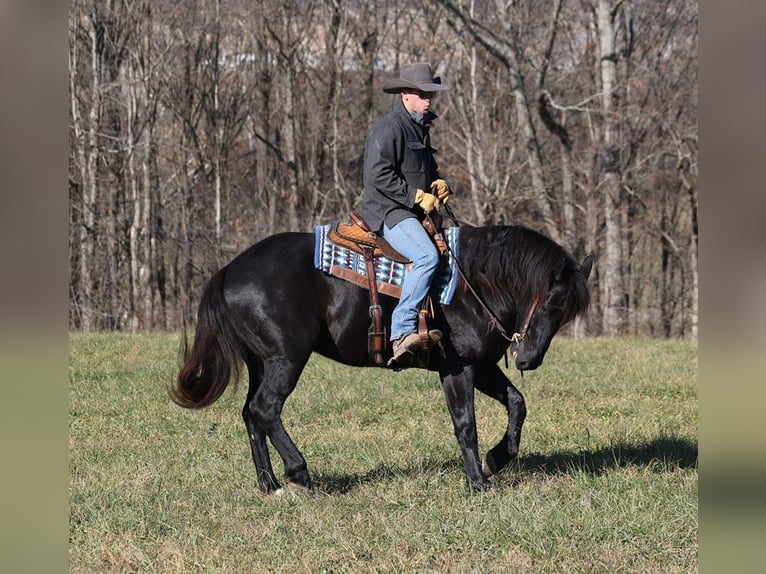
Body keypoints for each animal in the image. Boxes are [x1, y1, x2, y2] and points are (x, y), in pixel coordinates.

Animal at [172, 225, 592, 496]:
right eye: (554, 302)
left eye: (567, 312)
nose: (529, 359)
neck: (472, 281)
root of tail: (230, 270)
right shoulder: (457, 368)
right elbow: (466, 424)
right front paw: (478, 483)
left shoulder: (483, 365)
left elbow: (517, 404)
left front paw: (495, 460)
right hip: (285, 358)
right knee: (265, 409)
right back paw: (299, 474)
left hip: (261, 362)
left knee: (250, 414)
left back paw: (269, 484)